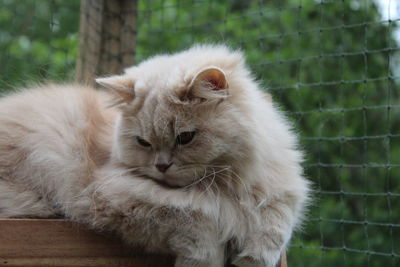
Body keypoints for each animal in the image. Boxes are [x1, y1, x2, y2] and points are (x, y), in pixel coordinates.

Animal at [0, 45, 310, 266]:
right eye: (143, 142)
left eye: (185, 137)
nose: (162, 166)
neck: (224, 185)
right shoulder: (115, 195)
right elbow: (199, 224)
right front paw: (206, 259)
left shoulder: (280, 187)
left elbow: (275, 224)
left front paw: (254, 257)